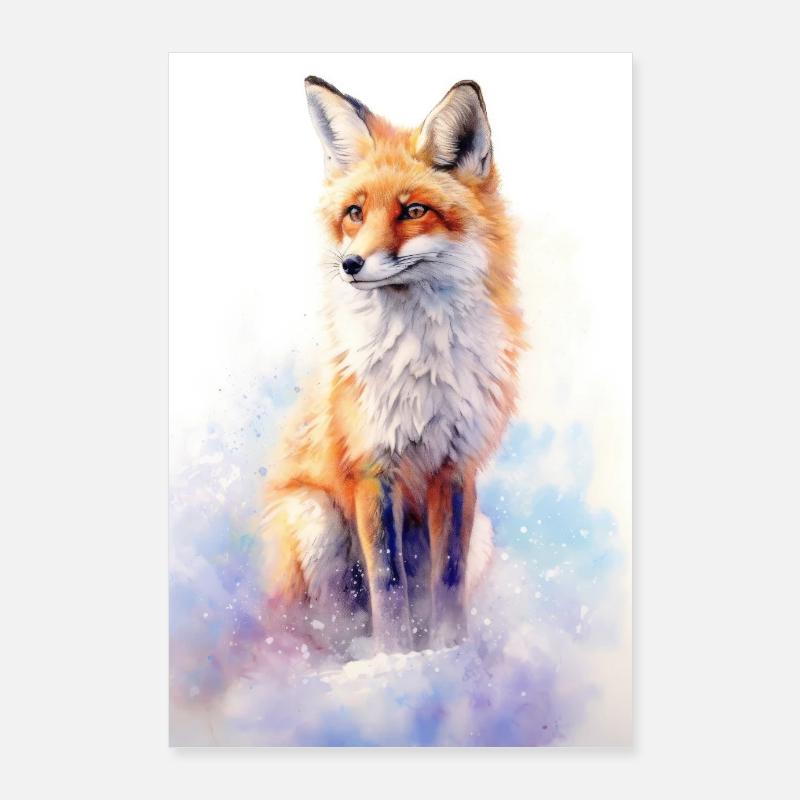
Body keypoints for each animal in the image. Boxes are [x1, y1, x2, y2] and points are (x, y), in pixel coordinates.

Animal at [261, 76, 524, 654]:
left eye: (414, 211)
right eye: (355, 213)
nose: (350, 264)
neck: (420, 363)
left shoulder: (456, 467)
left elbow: (446, 579)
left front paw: (448, 652)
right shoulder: (372, 467)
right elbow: (387, 580)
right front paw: (397, 655)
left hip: (482, 532)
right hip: (316, 521)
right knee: (325, 629)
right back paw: (351, 654)